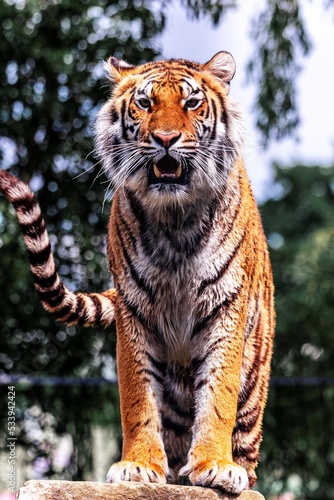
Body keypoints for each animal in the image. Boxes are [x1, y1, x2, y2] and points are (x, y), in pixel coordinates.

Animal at [0, 50, 274, 492]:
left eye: (191, 103)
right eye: (145, 103)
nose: (165, 138)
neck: (176, 219)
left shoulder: (226, 307)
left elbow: (218, 394)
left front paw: (215, 465)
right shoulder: (135, 310)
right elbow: (137, 397)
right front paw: (138, 466)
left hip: (254, 386)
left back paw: (237, 474)